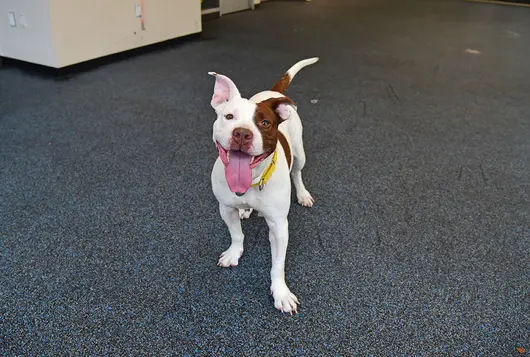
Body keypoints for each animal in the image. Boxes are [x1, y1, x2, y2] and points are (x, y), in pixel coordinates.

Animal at [206, 57, 316, 312]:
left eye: (264, 123)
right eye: (229, 117)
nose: (242, 134)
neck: (253, 179)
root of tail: (275, 93)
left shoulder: (279, 226)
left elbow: (278, 265)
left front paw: (281, 293)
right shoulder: (225, 208)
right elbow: (236, 234)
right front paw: (234, 253)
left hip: (300, 153)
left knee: (298, 172)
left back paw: (303, 194)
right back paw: (246, 210)